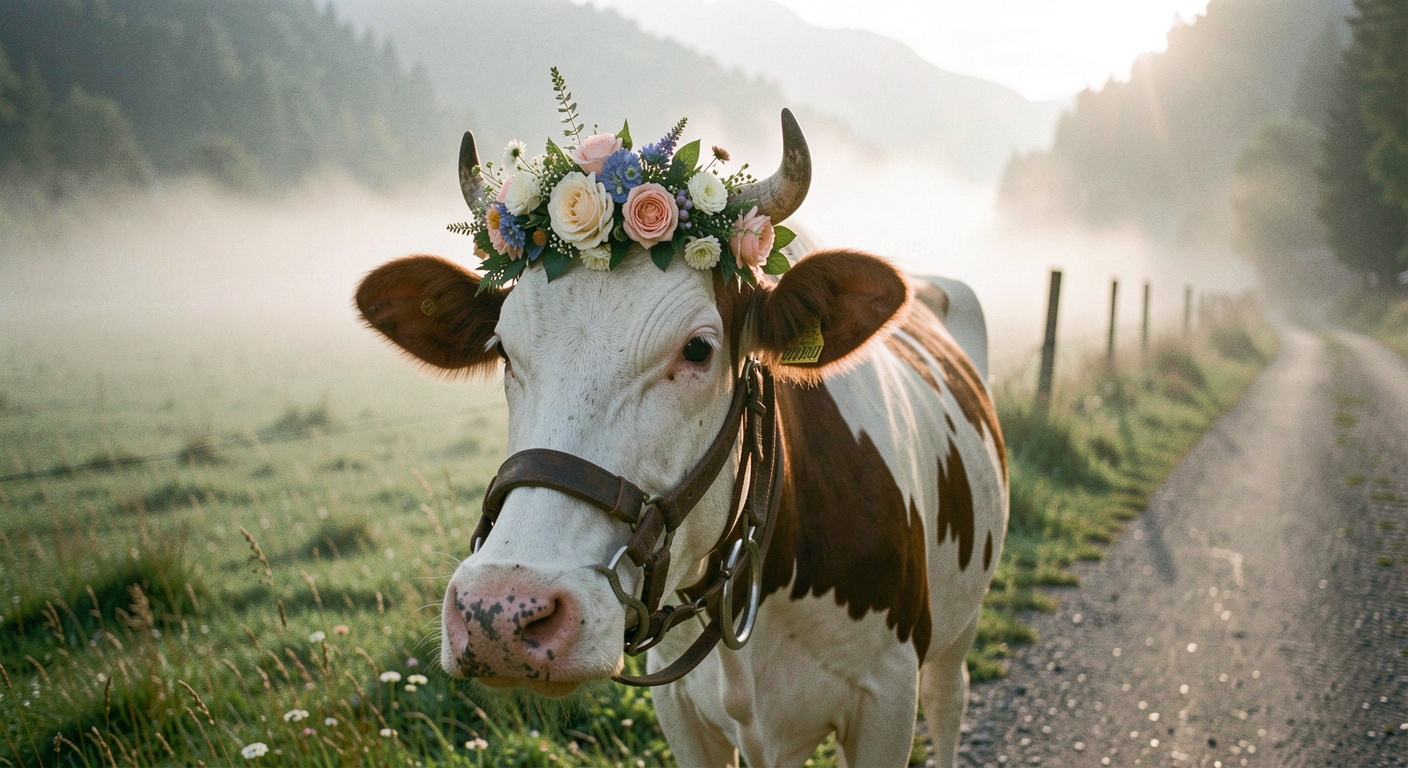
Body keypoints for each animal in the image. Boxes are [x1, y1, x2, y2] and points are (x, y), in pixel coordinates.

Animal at [355, 113, 1008, 768]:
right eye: (502, 350)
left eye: (697, 349)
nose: (502, 612)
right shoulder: (681, 714)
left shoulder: (887, 699)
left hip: (959, 630)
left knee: (950, 699)